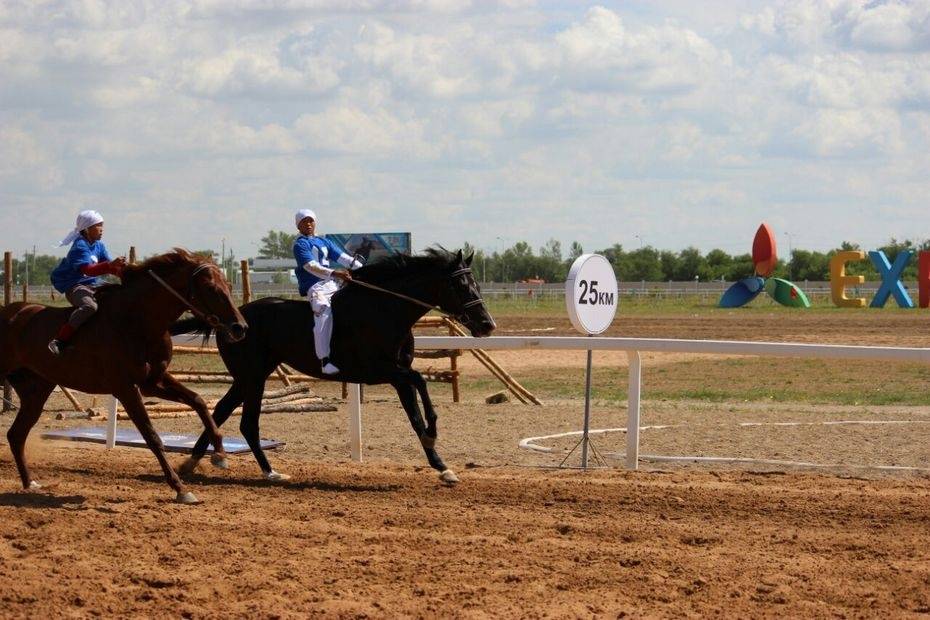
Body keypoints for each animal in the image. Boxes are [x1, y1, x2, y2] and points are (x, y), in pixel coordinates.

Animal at [0, 248, 246, 504]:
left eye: (229, 285)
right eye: (210, 287)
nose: (240, 327)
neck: (137, 322)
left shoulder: (153, 381)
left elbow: (198, 401)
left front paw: (219, 454)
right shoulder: (126, 388)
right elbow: (152, 436)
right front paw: (180, 487)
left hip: (37, 390)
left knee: (16, 434)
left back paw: (30, 483)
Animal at [170, 247, 496, 484]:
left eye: (477, 284)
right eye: (461, 285)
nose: (487, 324)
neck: (385, 311)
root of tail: (232, 318)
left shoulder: (397, 376)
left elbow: (415, 415)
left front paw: (441, 465)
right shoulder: (381, 371)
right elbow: (421, 380)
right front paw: (433, 434)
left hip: (249, 377)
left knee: (224, 412)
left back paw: (193, 463)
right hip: (253, 377)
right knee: (246, 421)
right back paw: (268, 472)